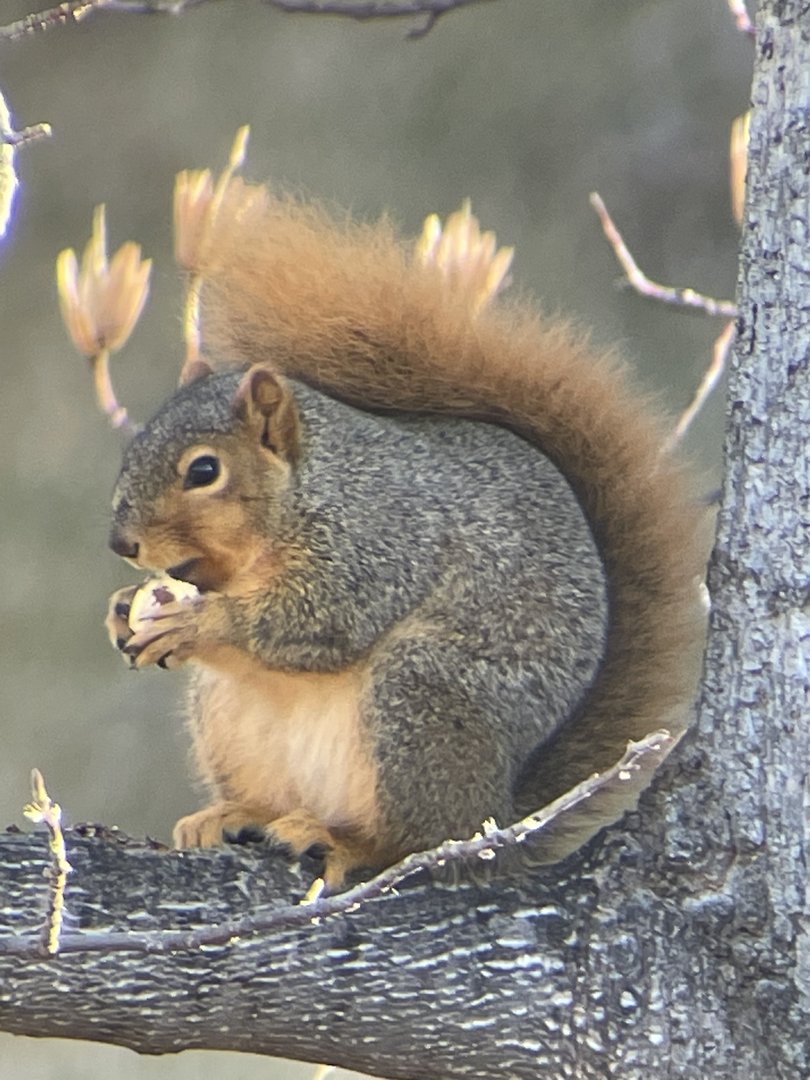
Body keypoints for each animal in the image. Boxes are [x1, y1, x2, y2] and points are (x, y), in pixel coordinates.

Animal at [104, 178, 709, 889]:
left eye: (204, 470)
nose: (122, 545)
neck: (306, 492)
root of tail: (501, 817)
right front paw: (122, 610)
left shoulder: (383, 538)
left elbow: (319, 620)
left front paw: (202, 622)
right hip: (232, 719)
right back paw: (236, 814)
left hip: (423, 696)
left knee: (420, 840)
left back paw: (347, 842)